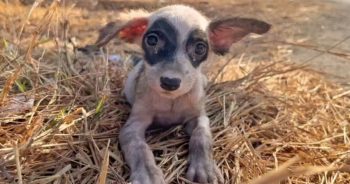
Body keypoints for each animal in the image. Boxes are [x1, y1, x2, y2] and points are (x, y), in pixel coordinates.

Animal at [93, 4, 270, 184]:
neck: (171, 102)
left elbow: (201, 136)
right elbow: (139, 148)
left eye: (200, 48)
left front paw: (204, 167)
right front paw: (147, 173)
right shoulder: (132, 125)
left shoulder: (199, 117)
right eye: (152, 40)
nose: (170, 82)